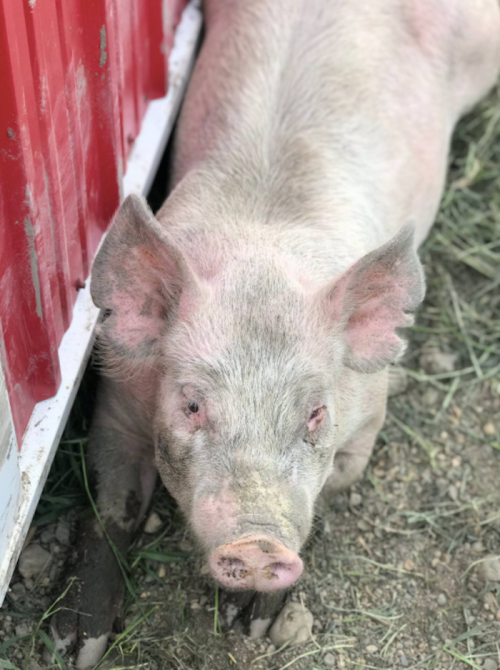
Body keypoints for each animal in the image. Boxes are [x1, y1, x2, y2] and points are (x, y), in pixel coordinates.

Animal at [51, 0, 500, 667]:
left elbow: (326, 495)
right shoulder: (117, 395)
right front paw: (75, 645)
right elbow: (115, 505)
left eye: (315, 413)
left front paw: (258, 625)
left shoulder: (368, 418)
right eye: (191, 404)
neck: (261, 246)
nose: (259, 545)